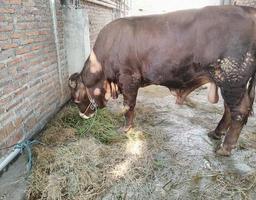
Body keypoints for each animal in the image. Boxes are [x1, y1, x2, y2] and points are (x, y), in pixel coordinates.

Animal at [68, 5, 256, 156]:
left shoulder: (129, 79)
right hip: (229, 83)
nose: (84, 116)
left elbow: (128, 106)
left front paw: (126, 128)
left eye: (76, 100)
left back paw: (225, 147)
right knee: (229, 109)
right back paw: (216, 133)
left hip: (232, 80)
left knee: (239, 111)